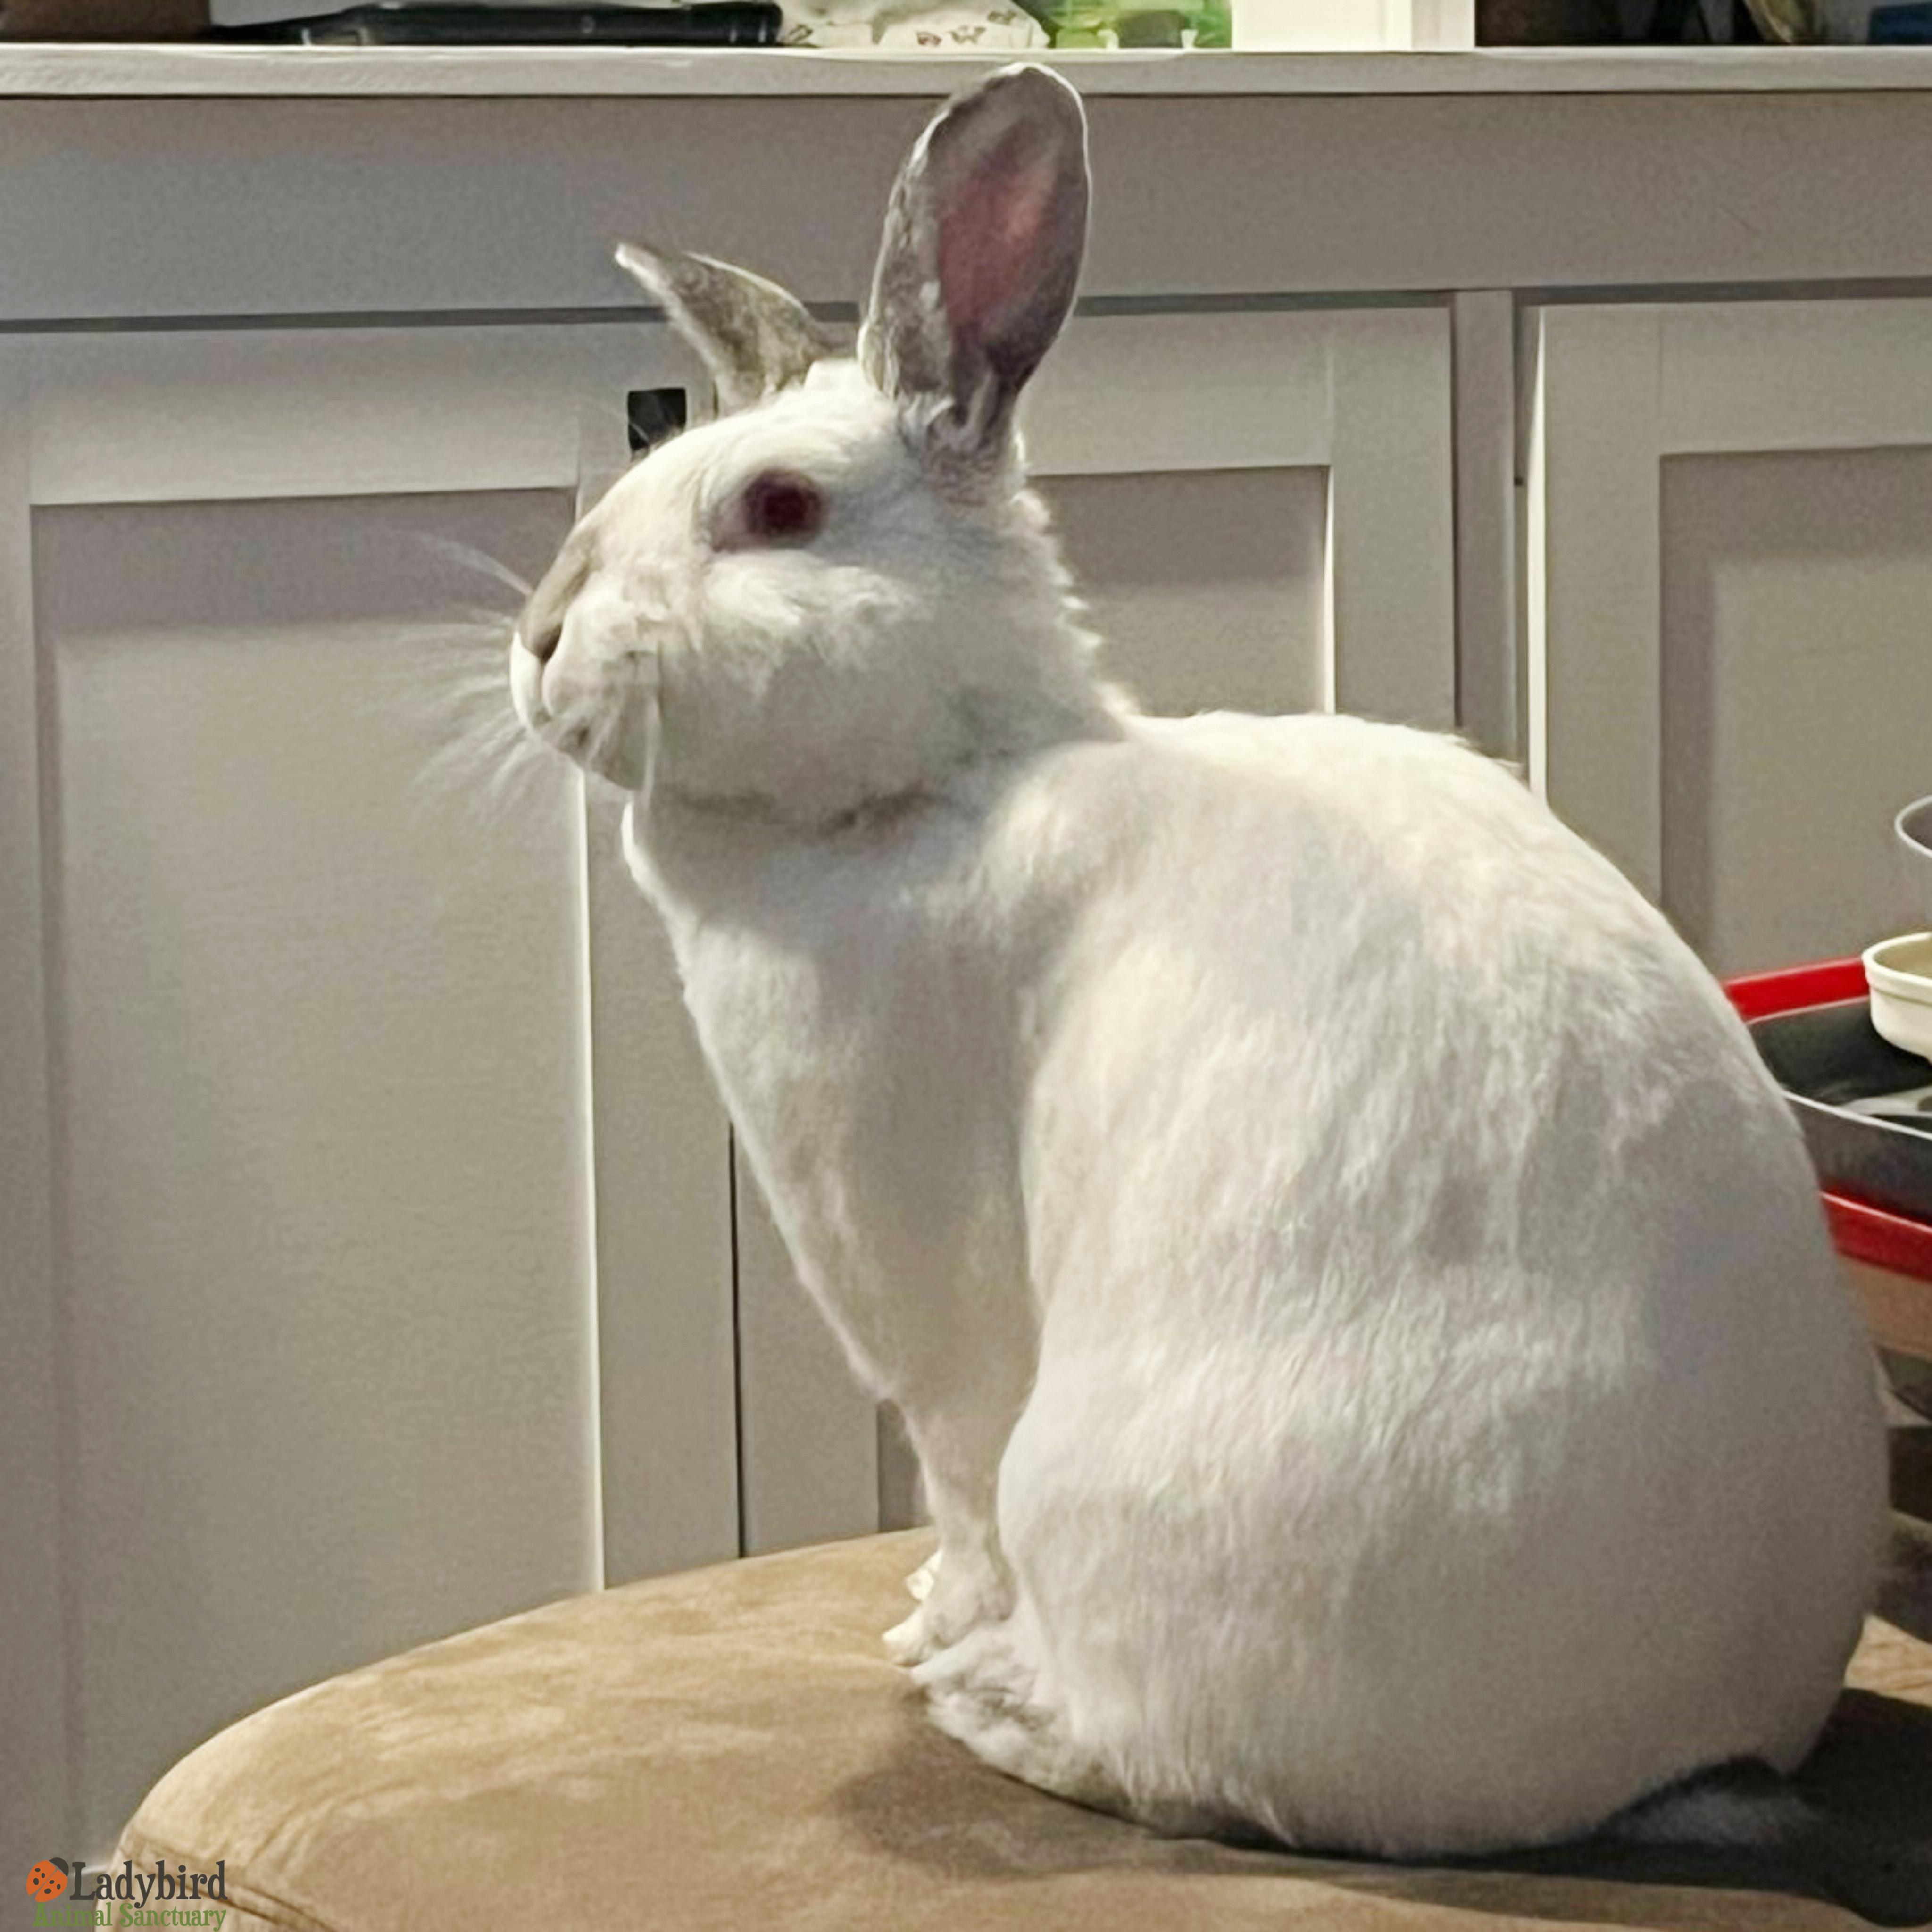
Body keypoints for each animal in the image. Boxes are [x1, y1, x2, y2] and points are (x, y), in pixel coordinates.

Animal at [507, 61, 1902, 1910]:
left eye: (779, 511)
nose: (536, 640)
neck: (946, 777)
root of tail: (1679, 1752)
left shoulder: (932, 1319)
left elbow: (954, 1495)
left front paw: (928, 1627)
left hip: (1097, 1489)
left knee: (1169, 1758)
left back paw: (993, 1700)